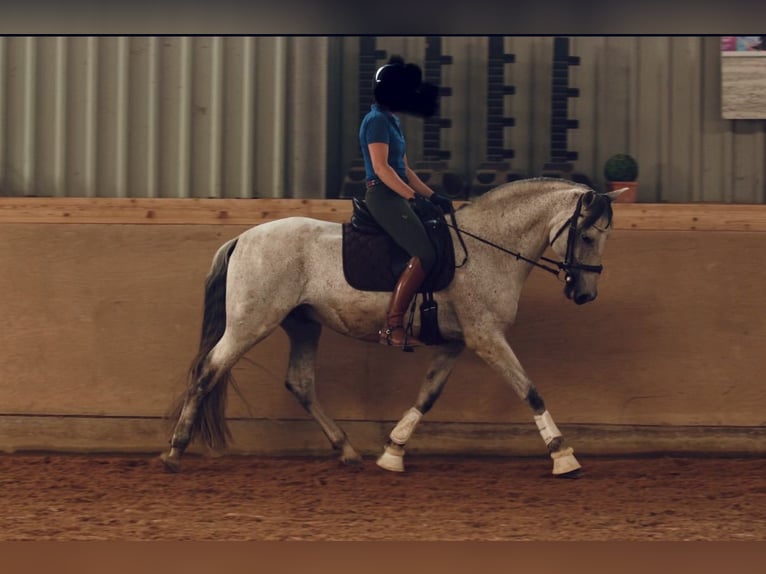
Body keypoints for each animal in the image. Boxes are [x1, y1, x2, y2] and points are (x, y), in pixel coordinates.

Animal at [161, 178, 625, 477]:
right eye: (587, 237)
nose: (585, 294)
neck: (487, 247)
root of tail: (242, 238)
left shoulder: (455, 343)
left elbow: (427, 395)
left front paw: (393, 452)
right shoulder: (486, 337)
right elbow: (530, 390)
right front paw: (564, 456)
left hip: (303, 325)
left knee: (300, 383)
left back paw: (348, 451)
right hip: (250, 323)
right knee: (208, 371)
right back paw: (174, 453)